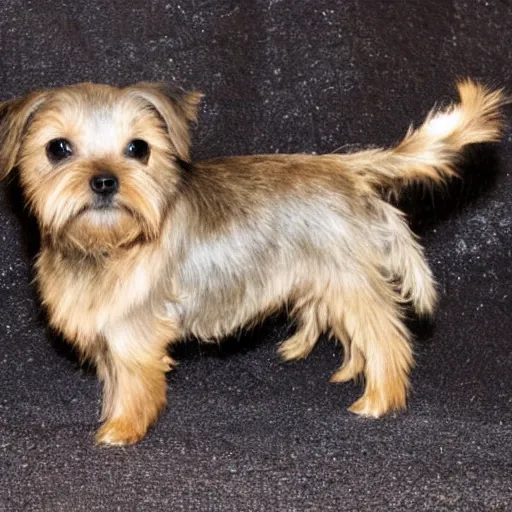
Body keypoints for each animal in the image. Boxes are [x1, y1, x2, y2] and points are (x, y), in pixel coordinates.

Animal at [0, 79, 504, 444]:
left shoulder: (134, 332)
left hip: (349, 283)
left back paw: (378, 401)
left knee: (388, 340)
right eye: (58, 148)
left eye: (137, 149)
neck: (106, 244)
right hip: (332, 286)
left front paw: (122, 429)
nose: (105, 181)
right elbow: (112, 380)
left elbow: (134, 385)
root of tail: (345, 168)